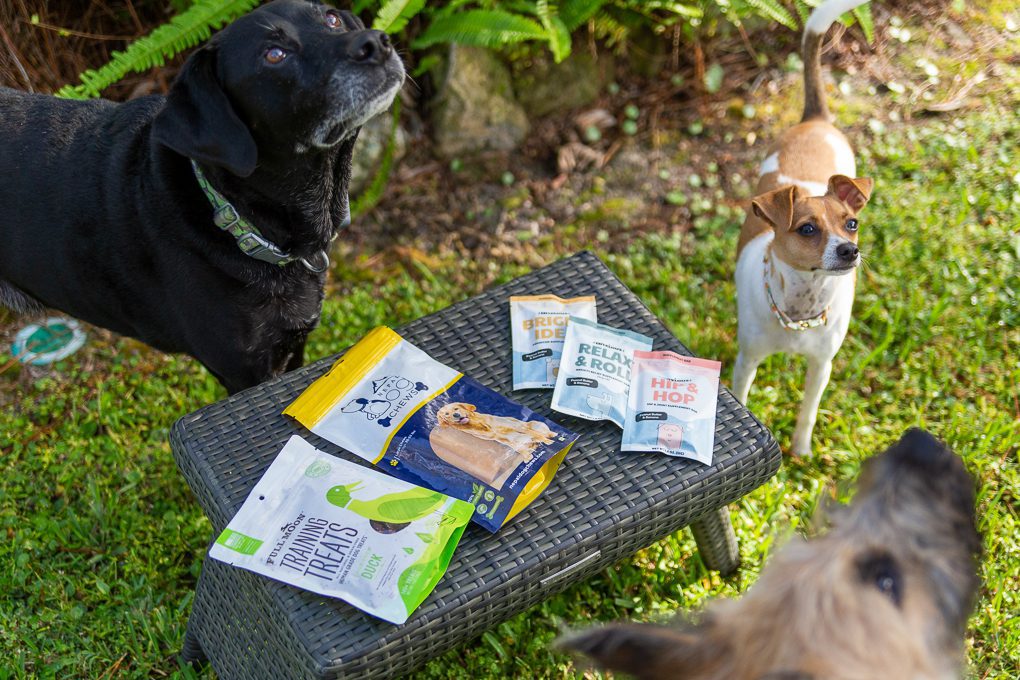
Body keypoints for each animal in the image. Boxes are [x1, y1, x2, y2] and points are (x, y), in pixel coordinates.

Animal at [0, 0, 403, 393]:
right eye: (274, 54)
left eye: (333, 19)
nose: (376, 42)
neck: (234, 217)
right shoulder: (244, 371)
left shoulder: (294, 345)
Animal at [734, 1, 877, 456]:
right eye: (808, 230)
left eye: (851, 224)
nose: (849, 250)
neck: (800, 310)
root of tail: (815, 119)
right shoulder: (747, 361)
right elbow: (741, 398)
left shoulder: (821, 366)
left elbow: (808, 412)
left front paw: (800, 451)